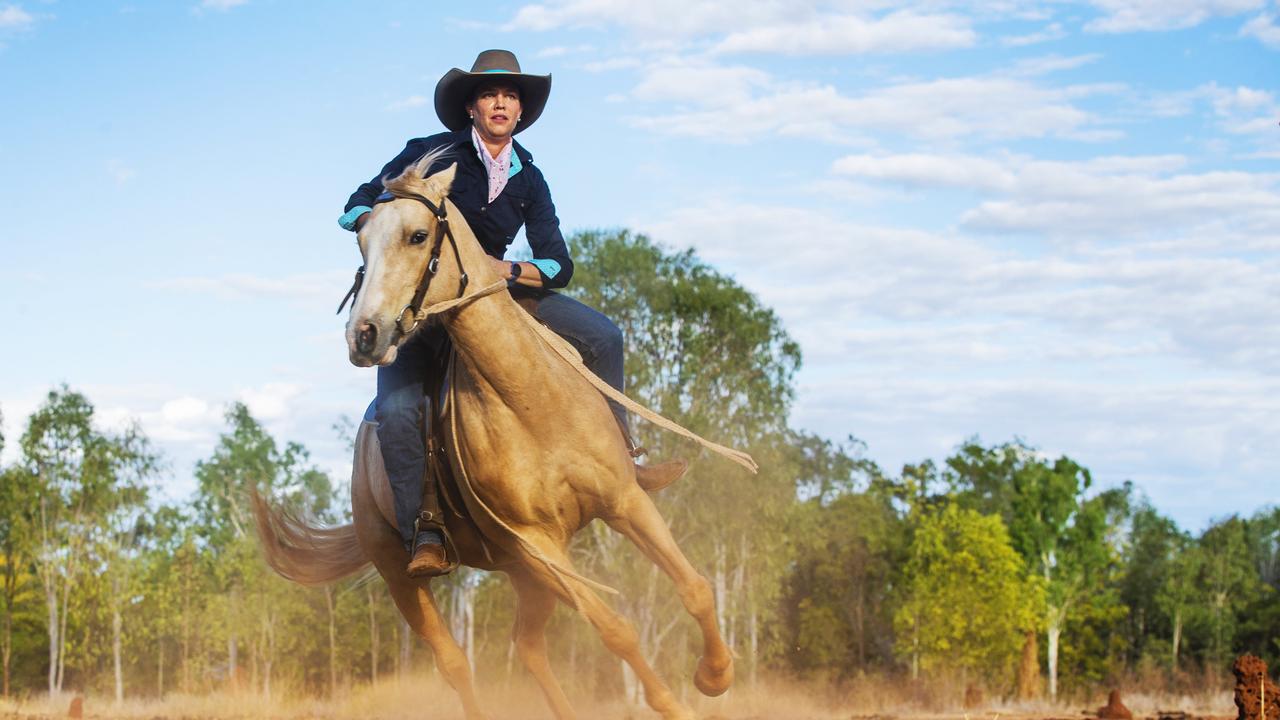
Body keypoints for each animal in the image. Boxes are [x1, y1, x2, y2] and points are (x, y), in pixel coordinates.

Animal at [252, 151, 742, 717]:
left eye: (418, 235)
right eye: (361, 241)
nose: (365, 335)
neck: (530, 400)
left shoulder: (623, 502)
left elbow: (695, 587)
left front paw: (714, 675)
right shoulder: (537, 547)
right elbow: (616, 630)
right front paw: (680, 700)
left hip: (524, 576)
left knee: (527, 647)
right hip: (404, 574)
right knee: (456, 664)